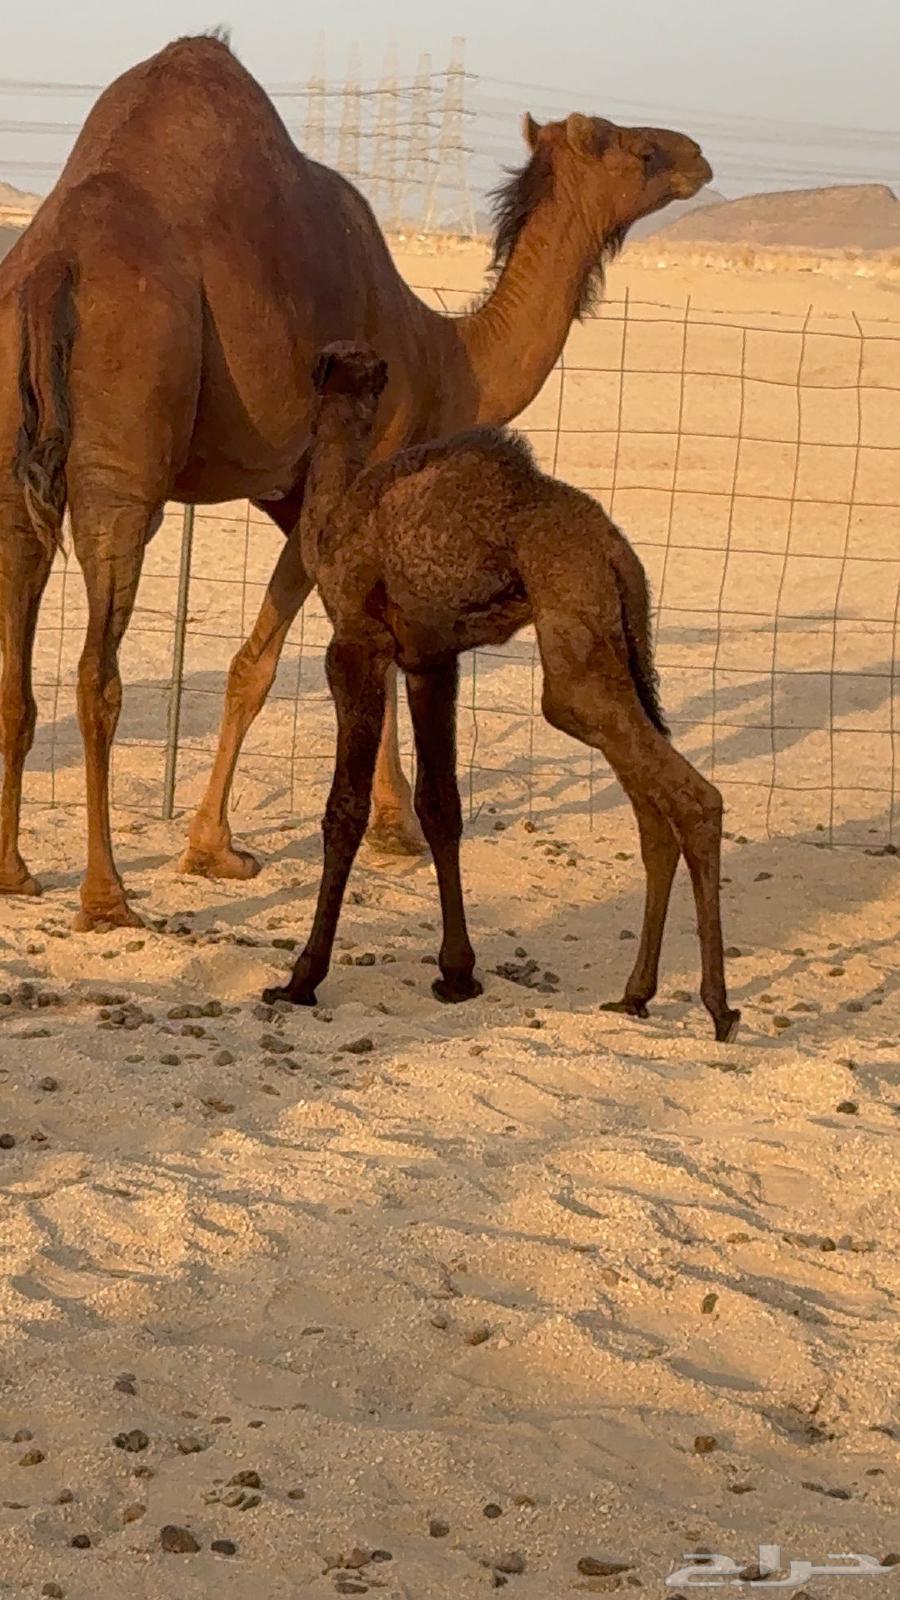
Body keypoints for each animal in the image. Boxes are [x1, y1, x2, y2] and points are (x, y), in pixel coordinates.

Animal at [0, 31, 711, 930]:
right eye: (639, 149)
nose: (698, 156)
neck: (450, 358)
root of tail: (51, 264)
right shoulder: (351, 492)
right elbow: (268, 667)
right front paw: (253, 845)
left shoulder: (299, 503)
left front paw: (305, 834)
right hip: (123, 462)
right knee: (97, 669)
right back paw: (106, 894)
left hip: (12, 458)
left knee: (14, 652)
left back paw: (14, 870)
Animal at [262, 343, 741, 1044]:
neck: (332, 523)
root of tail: (616, 553)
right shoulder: (432, 661)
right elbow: (440, 806)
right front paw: (457, 974)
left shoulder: (354, 644)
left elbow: (344, 810)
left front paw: (301, 978)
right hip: (603, 644)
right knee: (653, 813)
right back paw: (635, 995)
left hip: (571, 633)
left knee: (691, 797)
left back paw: (718, 1006)